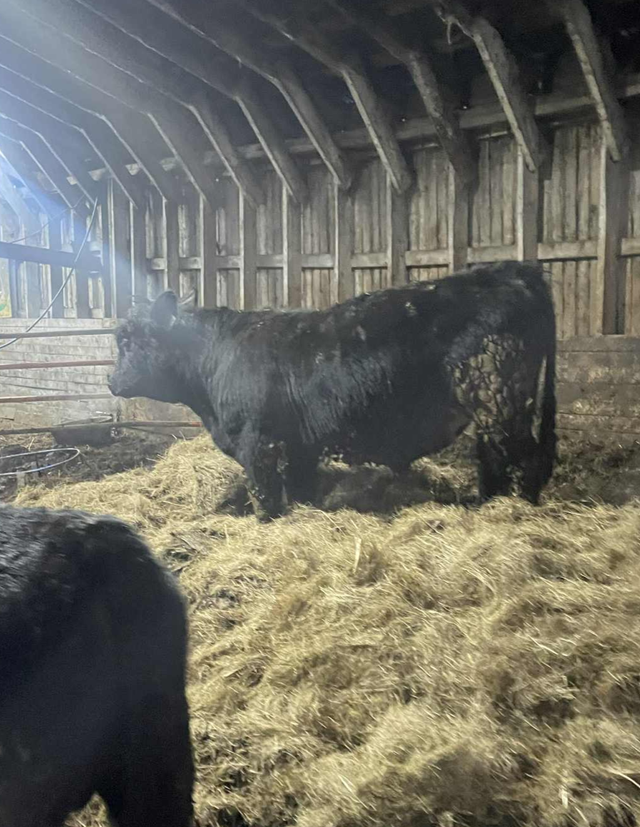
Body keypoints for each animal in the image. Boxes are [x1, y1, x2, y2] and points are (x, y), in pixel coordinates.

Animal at [108, 261, 556, 520]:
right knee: (493, 456)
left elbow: (265, 498)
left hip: (500, 397)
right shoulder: (298, 445)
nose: (111, 380)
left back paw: (520, 510)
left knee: (523, 457)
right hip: (491, 406)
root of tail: (510, 270)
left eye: (129, 340)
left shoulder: (259, 444)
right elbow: (300, 489)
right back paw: (486, 505)